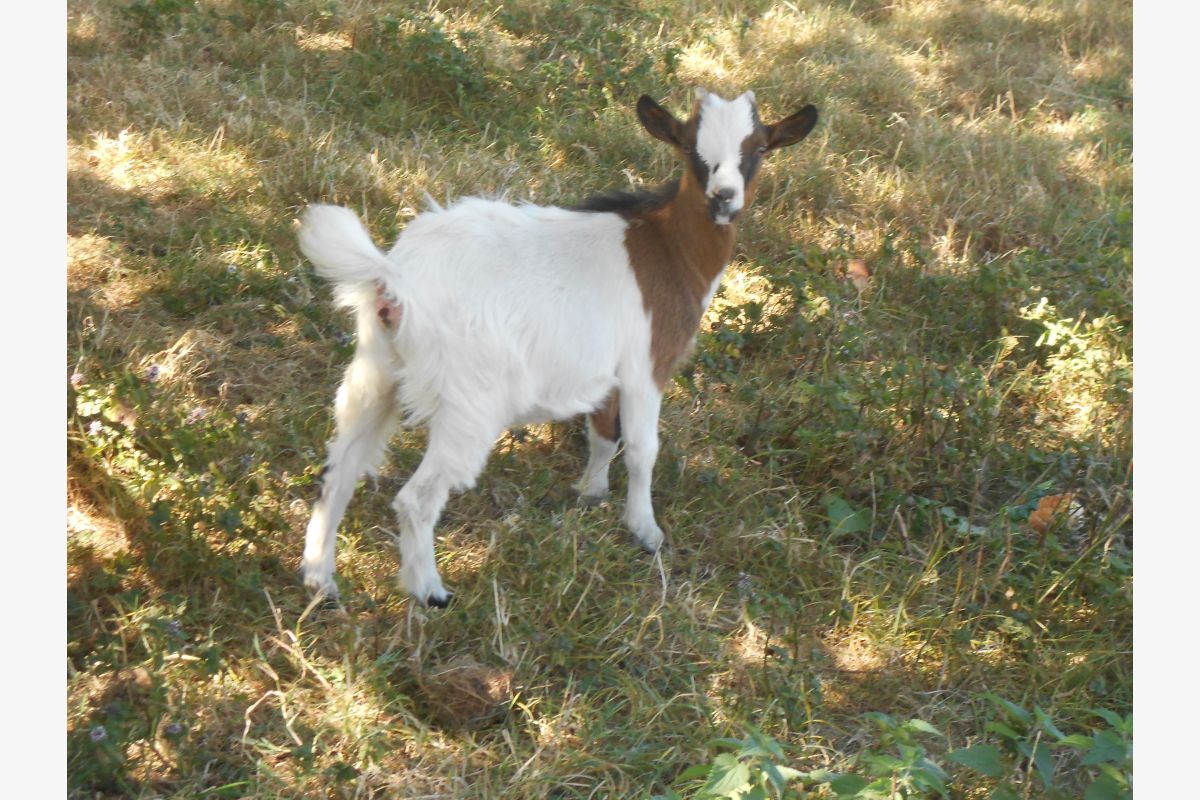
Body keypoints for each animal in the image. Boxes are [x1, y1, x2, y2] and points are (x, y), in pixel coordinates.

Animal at [298, 88, 818, 606]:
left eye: (759, 149)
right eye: (691, 147)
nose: (724, 198)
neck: (667, 250)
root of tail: (398, 279)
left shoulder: (607, 369)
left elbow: (604, 434)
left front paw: (590, 491)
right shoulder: (646, 365)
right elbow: (642, 448)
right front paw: (644, 529)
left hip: (375, 368)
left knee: (338, 471)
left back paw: (321, 580)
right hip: (469, 401)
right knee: (416, 498)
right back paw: (429, 590)